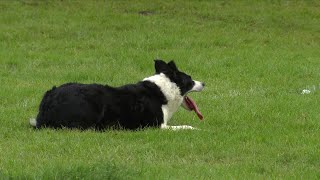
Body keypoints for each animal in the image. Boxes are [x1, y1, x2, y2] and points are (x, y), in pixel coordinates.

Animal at [30, 59, 205, 130]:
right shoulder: (158, 126)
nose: (204, 83)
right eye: (190, 80)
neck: (164, 89)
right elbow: (186, 126)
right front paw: (196, 129)